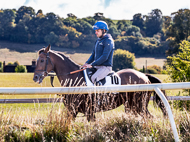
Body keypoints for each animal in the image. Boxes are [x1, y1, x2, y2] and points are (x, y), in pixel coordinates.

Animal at [33, 44, 167, 121]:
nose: (35, 77)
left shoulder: (82, 111)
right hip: (130, 107)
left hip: (139, 106)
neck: (74, 78)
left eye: (42, 60)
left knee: (149, 118)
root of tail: (144, 76)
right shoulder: (75, 112)